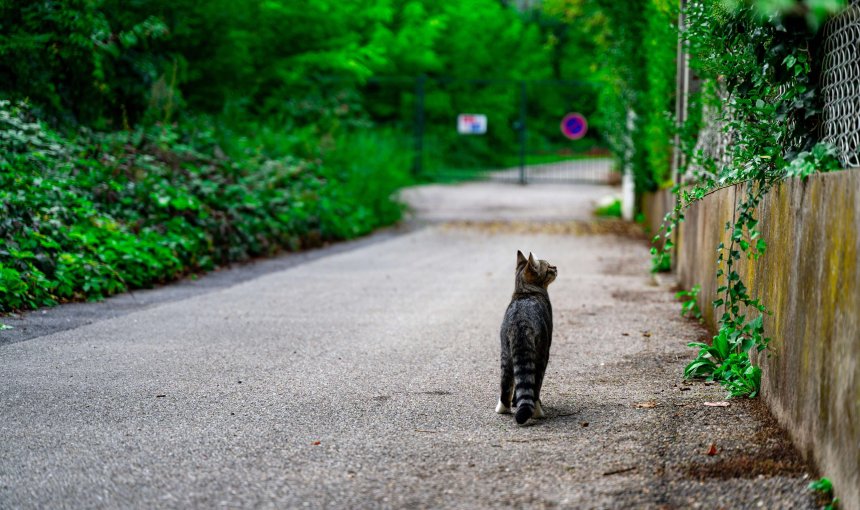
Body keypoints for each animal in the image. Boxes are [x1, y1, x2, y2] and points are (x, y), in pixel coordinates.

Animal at [498, 249, 556, 424]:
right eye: (548, 267)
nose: (556, 267)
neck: (524, 291)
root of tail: (520, 322)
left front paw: (516, 402)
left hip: (506, 354)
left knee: (506, 385)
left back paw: (504, 408)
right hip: (541, 354)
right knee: (535, 386)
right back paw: (537, 411)